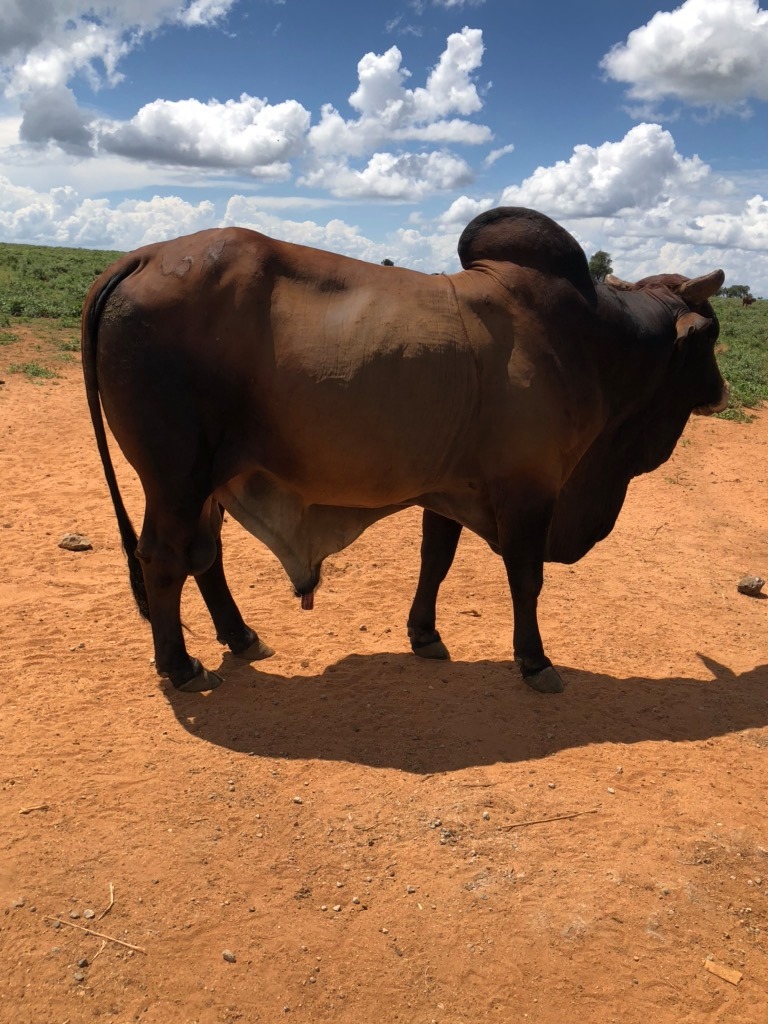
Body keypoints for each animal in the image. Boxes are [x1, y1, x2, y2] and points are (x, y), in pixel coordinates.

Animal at [82, 204, 729, 692]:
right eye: (712, 335)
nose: (722, 391)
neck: (591, 341)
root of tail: (143, 256)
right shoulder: (530, 487)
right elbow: (526, 577)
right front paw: (536, 661)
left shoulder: (451, 488)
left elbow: (435, 561)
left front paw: (426, 635)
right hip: (175, 475)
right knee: (164, 557)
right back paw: (181, 667)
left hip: (207, 479)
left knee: (204, 554)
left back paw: (241, 637)